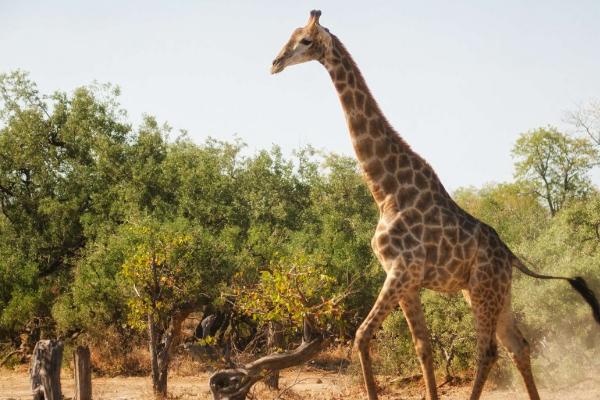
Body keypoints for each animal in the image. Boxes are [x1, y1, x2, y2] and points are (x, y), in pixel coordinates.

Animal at [272, 9, 600, 400]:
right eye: (289, 37)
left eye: (305, 41)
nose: (275, 63)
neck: (385, 191)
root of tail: (511, 256)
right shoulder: (406, 280)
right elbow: (423, 347)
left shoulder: (401, 270)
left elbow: (362, 336)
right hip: (491, 293)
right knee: (518, 345)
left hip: (483, 290)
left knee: (488, 351)